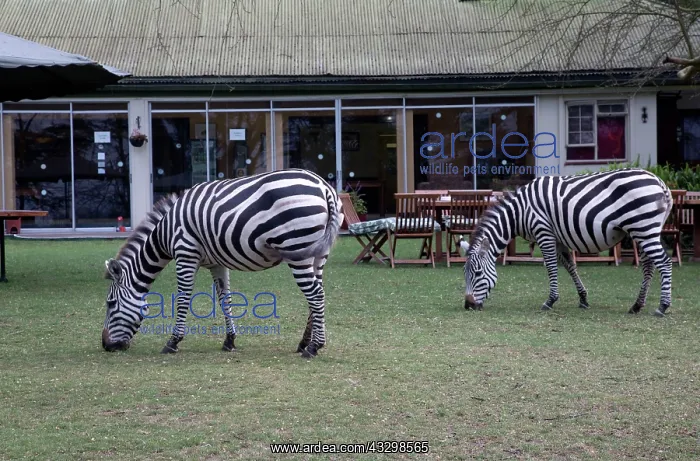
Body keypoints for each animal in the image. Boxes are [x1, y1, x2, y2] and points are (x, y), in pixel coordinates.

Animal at [102, 168, 344, 358]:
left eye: (110, 303)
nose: (105, 346)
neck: (164, 233)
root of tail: (324, 186)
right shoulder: (216, 263)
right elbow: (224, 299)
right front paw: (229, 340)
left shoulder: (185, 254)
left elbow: (183, 299)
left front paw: (172, 342)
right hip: (318, 254)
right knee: (317, 294)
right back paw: (304, 343)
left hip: (297, 250)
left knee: (315, 294)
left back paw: (313, 347)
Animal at [460, 168, 675, 317]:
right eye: (464, 274)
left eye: (477, 273)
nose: (468, 305)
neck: (519, 212)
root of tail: (660, 182)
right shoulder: (558, 238)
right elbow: (570, 266)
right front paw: (583, 299)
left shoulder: (543, 232)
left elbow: (551, 267)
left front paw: (550, 301)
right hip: (643, 231)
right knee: (648, 265)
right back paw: (637, 305)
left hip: (643, 228)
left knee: (664, 262)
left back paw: (662, 306)